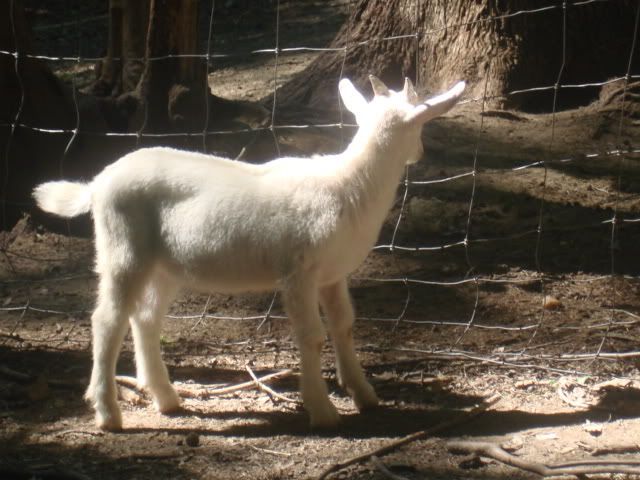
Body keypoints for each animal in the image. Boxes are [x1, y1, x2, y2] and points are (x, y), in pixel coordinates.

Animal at [33, 76, 465, 431]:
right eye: (421, 124)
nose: (420, 153)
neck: (351, 185)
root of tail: (98, 182)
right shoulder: (299, 271)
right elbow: (312, 336)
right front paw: (322, 411)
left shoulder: (332, 274)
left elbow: (343, 326)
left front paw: (364, 395)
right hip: (123, 248)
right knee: (107, 320)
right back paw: (108, 413)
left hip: (164, 265)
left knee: (145, 318)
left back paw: (166, 398)